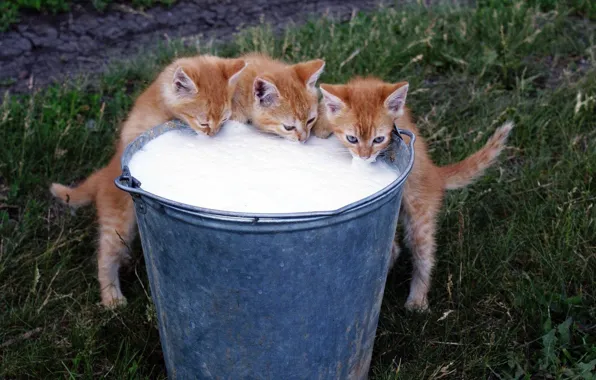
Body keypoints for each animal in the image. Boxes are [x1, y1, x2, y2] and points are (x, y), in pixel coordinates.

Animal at [50, 54, 246, 308]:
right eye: (203, 122)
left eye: (223, 120)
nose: (212, 135)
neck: (161, 102)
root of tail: (103, 174)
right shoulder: (139, 130)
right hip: (119, 222)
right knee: (105, 256)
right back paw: (111, 297)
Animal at [314, 77, 516, 312]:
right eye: (352, 138)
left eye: (378, 139)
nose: (365, 157)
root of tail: (437, 175)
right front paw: (321, 121)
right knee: (394, 249)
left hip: (420, 217)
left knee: (423, 255)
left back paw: (418, 299)